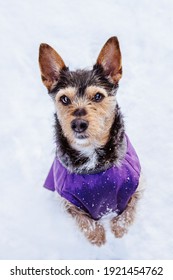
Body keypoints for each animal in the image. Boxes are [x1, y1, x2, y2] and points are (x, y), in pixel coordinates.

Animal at [38, 36, 142, 245]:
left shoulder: (134, 187)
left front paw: (119, 231)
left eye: (98, 96)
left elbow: (127, 213)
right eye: (64, 99)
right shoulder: (68, 200)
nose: (78, 124)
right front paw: (98, 238)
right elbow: (86, 222)